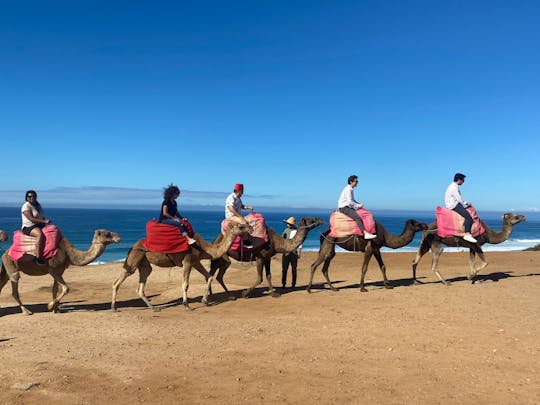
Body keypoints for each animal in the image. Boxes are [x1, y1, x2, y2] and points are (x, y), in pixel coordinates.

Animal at [113, 221, 252, 312]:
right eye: (241, 226)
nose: (250, 228)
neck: (204, 248)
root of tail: (133, 246)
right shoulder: (188, 261)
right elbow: (185, 284)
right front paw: (186, 305)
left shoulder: (196, 262)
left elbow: (209, 277)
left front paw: (205, 301)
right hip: (135, 258)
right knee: (118, 281)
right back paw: (114, 308)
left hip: (144, 263)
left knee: (142, 284)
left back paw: (154, 308)